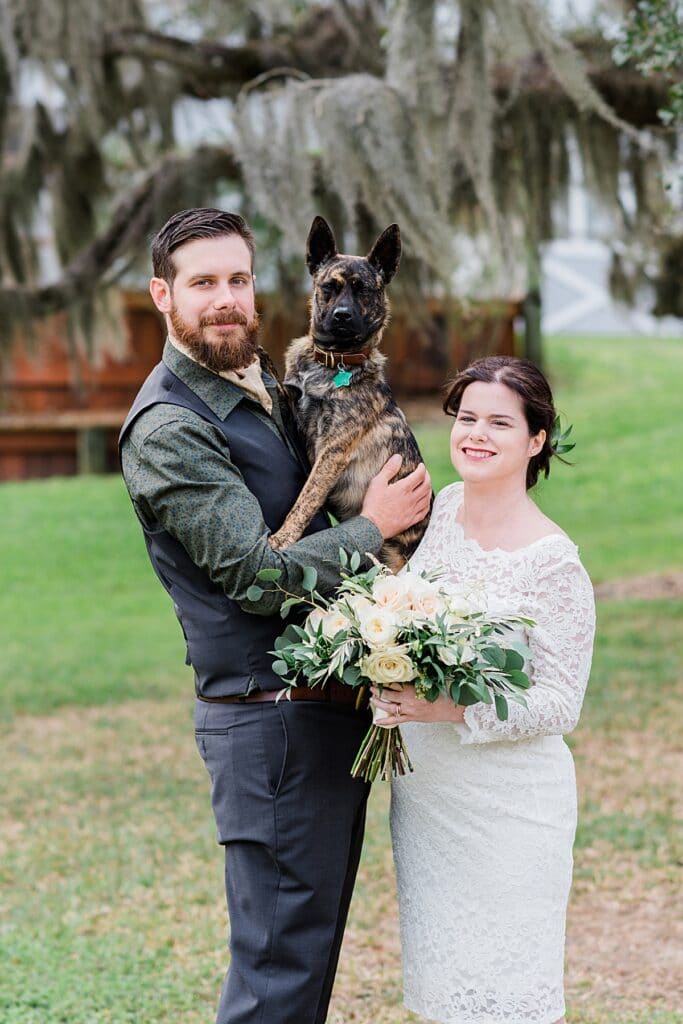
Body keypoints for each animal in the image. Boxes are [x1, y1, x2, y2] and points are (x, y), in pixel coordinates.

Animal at [270, 216, 430, 573]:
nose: (342, 316)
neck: (334, 362)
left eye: (363, 290)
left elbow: (305, 498)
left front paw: (283, 538)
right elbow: (282, 389)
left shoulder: (333, 449)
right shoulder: (295, 410)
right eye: (329, 286)